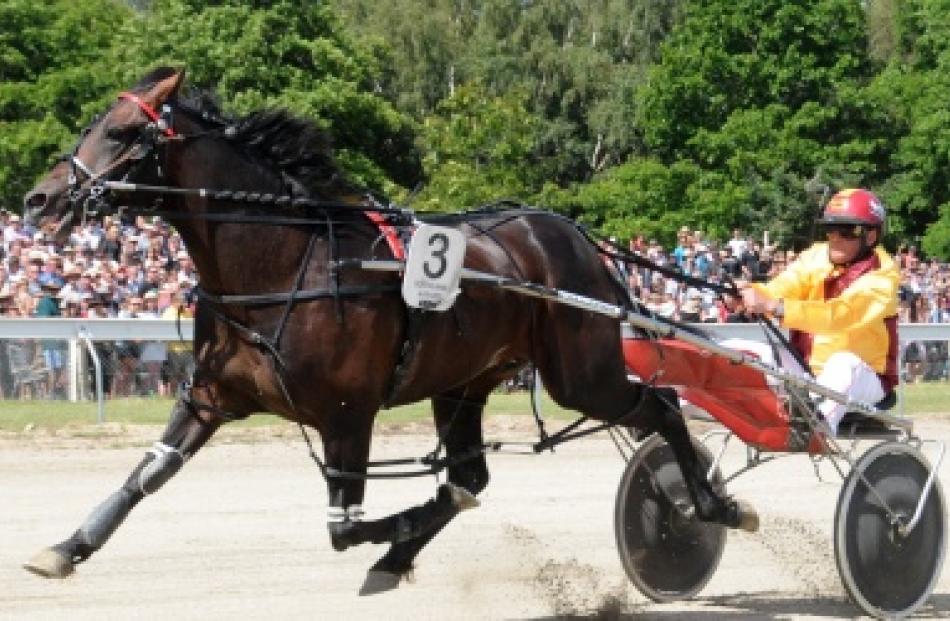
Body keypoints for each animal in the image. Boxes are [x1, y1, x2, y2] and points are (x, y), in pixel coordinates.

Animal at [20, 68, 760, 592]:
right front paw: (65, 547)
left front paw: (390, 536)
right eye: (92, 123)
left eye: (121, 132)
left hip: (582, 372)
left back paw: (712, 506)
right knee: (473, 474)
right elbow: (148, 474)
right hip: (464, 381)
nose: (39, 198)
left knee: (660, 407)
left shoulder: (349, 413)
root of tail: (576, 236)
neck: (285, 260)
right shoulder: (210, 397)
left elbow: (345, 529)